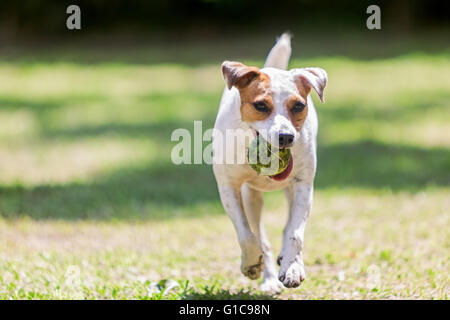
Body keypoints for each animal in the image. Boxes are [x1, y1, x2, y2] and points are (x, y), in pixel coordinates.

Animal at [211, 32, 326, 292]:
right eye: (261, 105)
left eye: (299, 105)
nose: (286, 137)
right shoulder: (229, 187)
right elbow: (246, 234)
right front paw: (251, 264)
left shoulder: (304, 185)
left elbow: (295, 233)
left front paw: (292, 267)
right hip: (251, 197)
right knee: (259, 234)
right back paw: (268, 277)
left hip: (291, 192)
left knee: (288, 227)